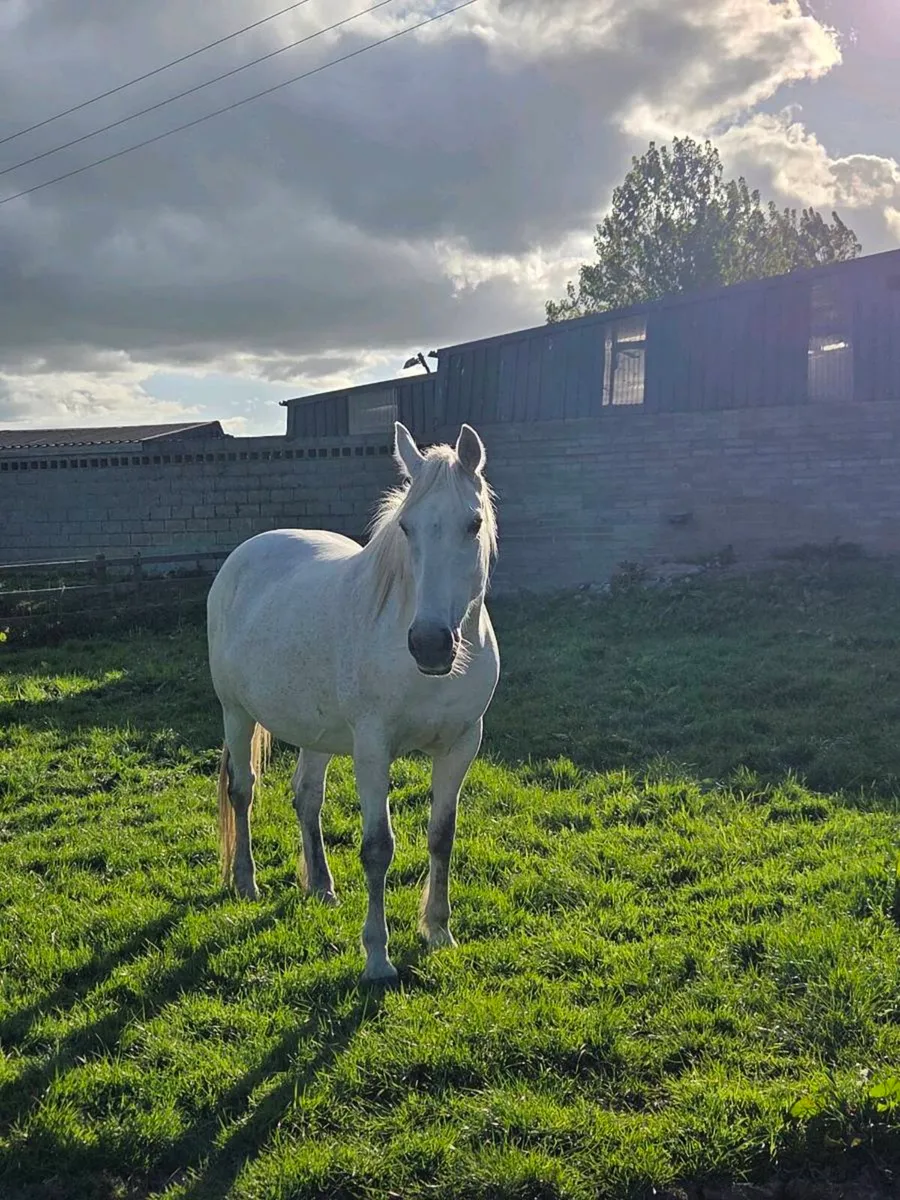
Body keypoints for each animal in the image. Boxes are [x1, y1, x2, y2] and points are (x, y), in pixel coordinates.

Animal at [206, 421, 500, 982]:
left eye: (473, 525)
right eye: (406, 527)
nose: (429, 644)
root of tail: (244, 554)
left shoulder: (461, 746)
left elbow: (442, 836)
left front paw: (439, 931)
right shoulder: (372, 750)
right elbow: (378, 848)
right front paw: (378, 958)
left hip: (315, 732)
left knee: (306, 798)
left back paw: (321, 886)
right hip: (236, 713)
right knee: (242, 790)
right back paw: (247, 882)